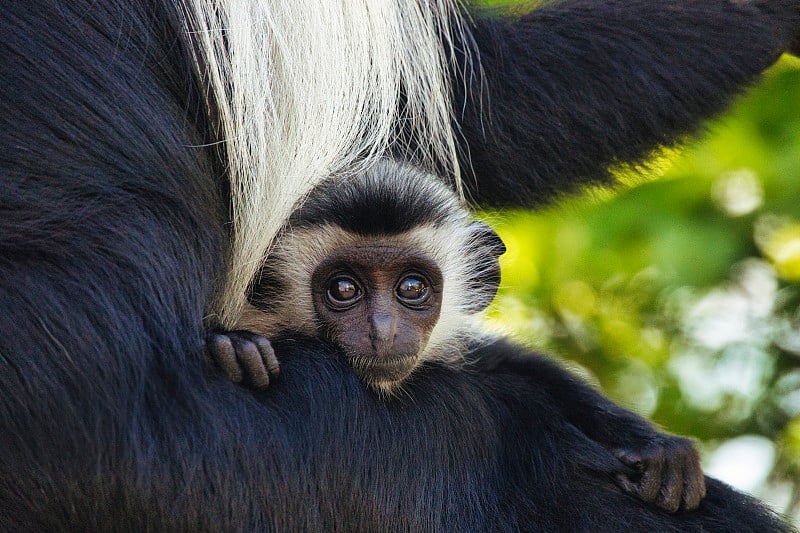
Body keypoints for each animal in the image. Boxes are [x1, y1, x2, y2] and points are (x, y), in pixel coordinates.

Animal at [206, 159, 708, 512]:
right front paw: (239, 348)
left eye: (412, 287)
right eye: (343, 289)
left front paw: (657, 449)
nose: (382, 330)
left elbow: (506, 361)